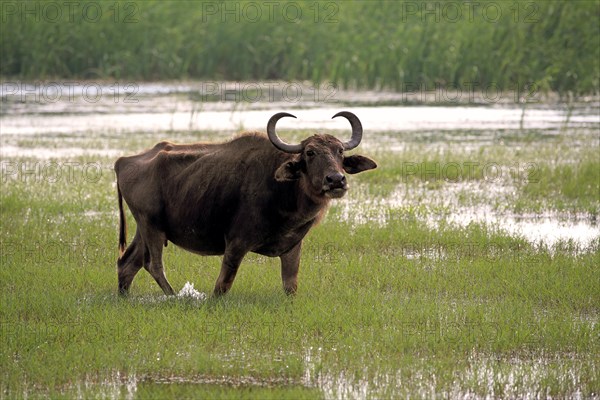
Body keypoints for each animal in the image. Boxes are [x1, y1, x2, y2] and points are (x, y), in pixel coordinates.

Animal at [115, 111, 378, 296]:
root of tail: (122, 161)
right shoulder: (236, 243)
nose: (336, 180)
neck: (282, 192)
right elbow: (222, 285)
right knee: (154, 264)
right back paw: (175, 296)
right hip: (151, 226)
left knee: (127, 264)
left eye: (340, 151)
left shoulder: (293, 247)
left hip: (144, 229)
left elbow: (290, 285)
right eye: (310, 153)